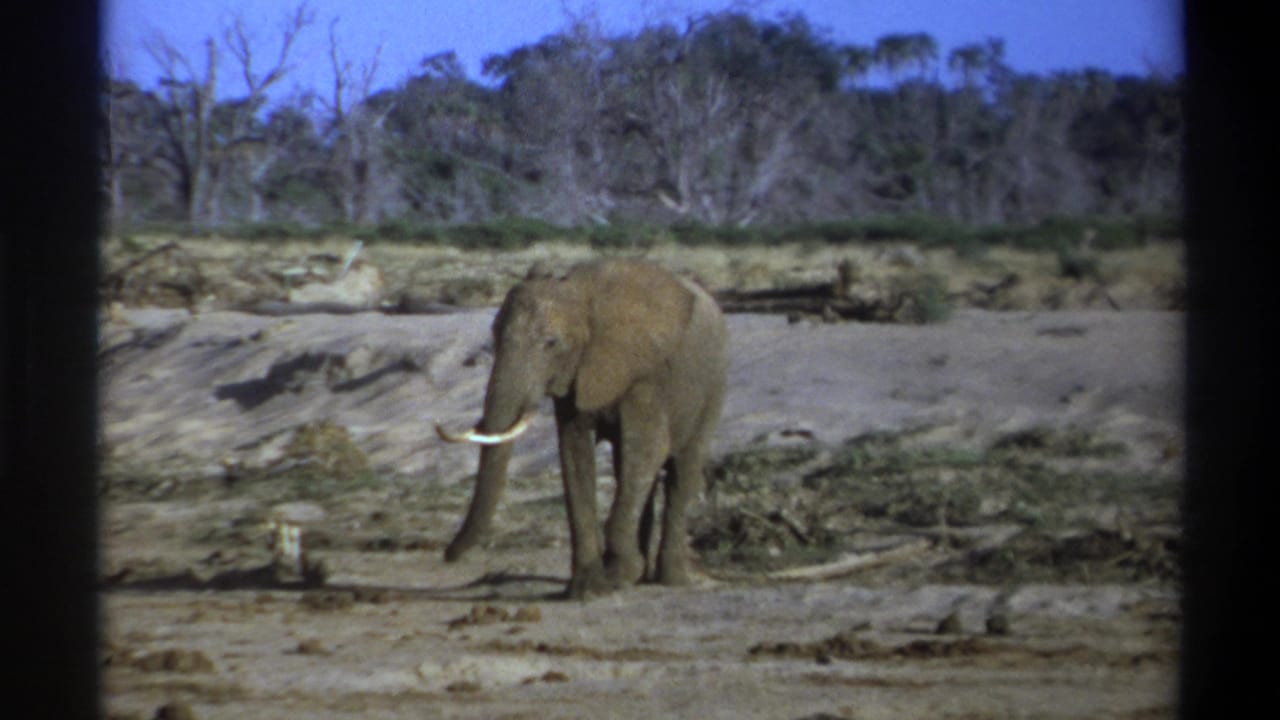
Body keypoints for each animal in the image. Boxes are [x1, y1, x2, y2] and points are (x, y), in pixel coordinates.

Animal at [436, 259, 728, 599]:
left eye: (551, 344)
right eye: (495, 334)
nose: (447, 555)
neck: (580, 293)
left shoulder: (646, 376)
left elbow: (649, 450)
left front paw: (618, 575)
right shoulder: (573, 375)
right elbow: (574, 455)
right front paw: (587, 589)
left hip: (712, 386)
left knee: (681, 472)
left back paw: (670, 579)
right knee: (629, 469)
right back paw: (640, 578)